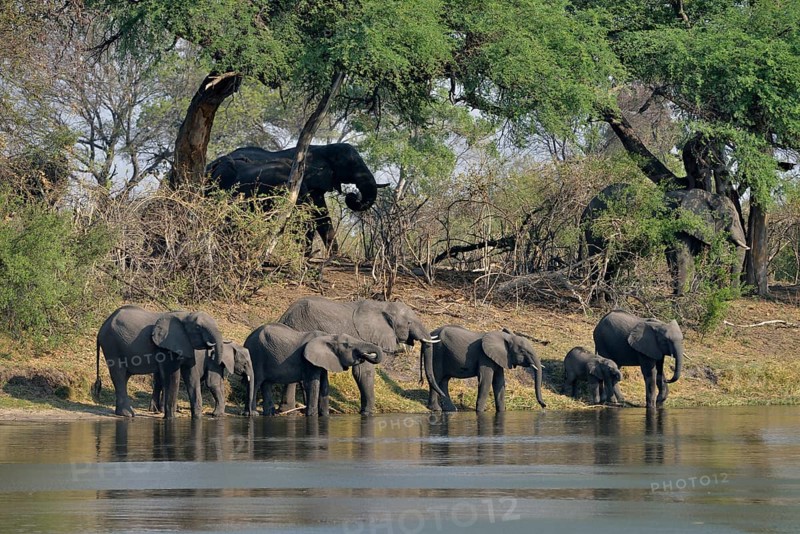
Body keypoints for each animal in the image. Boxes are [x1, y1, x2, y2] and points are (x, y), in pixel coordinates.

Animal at [92, 304, 226, 418]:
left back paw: (123, 413)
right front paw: (170, 419)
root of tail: (101, 328)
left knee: (125, 376)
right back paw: (128, 414)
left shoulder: (186, 344)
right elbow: (173, 376)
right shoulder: (166, 347)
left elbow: (192, 376)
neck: (185, 315)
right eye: (198, 327)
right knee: (118, 374)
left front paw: (197, 419)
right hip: (111, 345)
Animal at [244, 323, 384, 416]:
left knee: (266, 384)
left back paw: (268, 414)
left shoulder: (322, 361)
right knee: (255, 382)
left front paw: (325, 415)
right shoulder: (309, 362)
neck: (329, 337)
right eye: (348, 346)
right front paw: (312, 415)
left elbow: (325, 384)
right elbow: (314, 383)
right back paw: (252, 414)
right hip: (255, 354)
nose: (365, 355)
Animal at [278, 296, 447, 414]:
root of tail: (284, 316)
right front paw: (369, 412)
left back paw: (287, 410)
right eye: (410, 323)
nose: (420, 381)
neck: (383, 305)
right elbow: (363, 371)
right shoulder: (365, 337)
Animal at [580, 184, 749, 296]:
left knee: (613, 260)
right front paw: (682, 299)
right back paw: (598, 299)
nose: (732, 297)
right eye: (731, 218)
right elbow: (683, 256)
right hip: (595, 225)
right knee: (598, 257)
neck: (708, 195)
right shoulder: (679, 220)